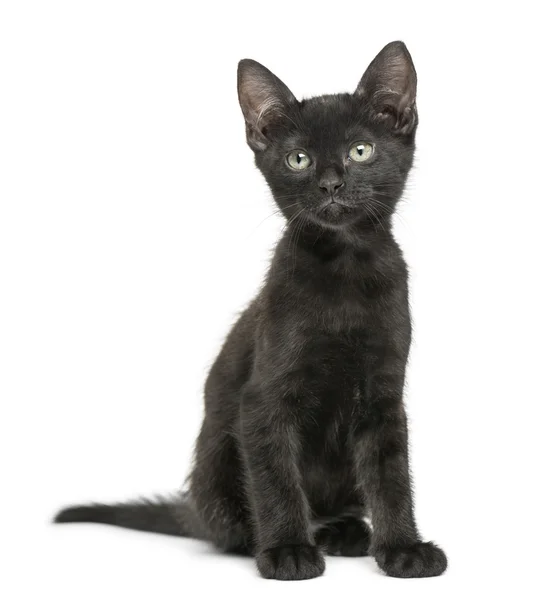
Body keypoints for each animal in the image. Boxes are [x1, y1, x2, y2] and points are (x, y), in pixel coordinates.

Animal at [55, 39, 448, 580]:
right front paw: (287, 550)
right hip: (219, 461)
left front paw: (403, 548)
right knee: (228, 528)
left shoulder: (384, 397)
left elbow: (391, 477)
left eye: (360, 151)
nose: (330, 184)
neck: (344, 270)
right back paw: (300, 537)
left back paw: (345, 531)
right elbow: (275, 478)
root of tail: (194, 510)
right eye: (298, 159)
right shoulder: (262, 400)